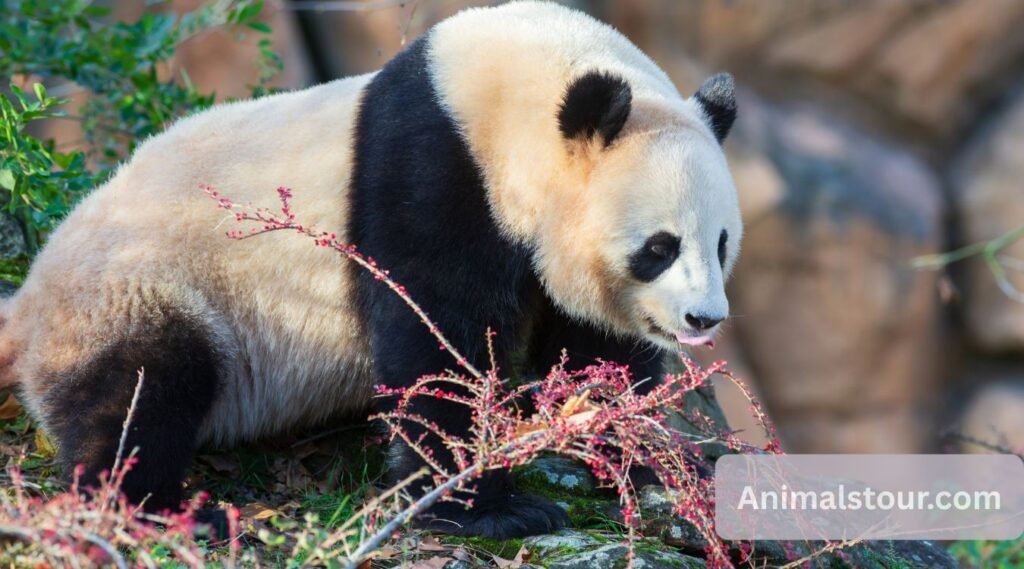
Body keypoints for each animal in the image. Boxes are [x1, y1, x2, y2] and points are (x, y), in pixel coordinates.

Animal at [0, 1, 741, 538]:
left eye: (723, 243)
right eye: (660, 247)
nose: (703, 318)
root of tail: (29, 297)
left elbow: (591, 348)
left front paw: (645, 456)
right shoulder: (431, 172)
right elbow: (434, 335)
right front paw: (489, 507)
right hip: (136, 289)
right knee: (140, 393)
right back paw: (161, 508)